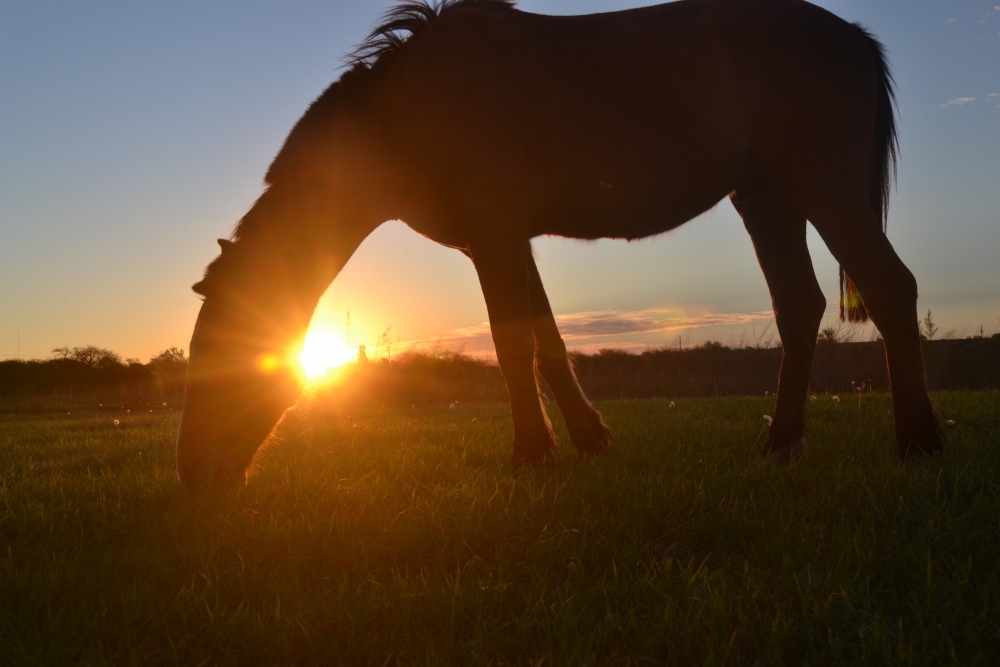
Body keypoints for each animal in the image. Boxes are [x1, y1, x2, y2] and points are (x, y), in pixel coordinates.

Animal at [174, 0, 944, 488]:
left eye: (218, 360)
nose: (195, 476)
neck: (411, 108)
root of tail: (851, 35)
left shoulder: (494, 236)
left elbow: (511, 343)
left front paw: (532, 454)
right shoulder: (507, 241)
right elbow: (546, 339)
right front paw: (586, 438)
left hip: (825, 192)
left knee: (889, 288)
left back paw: (918, 443)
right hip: (766, 198)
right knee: (798, 307)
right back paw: (780, 444)